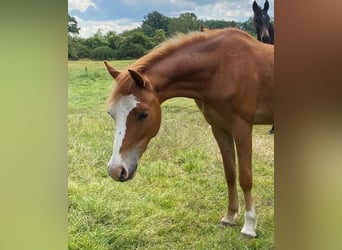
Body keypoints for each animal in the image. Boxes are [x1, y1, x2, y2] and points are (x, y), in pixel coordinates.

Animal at [105, 28, 276, 237]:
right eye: (112, 114)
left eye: (143, 114)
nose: (116, 170)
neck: (222, 68)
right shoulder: (220, 128)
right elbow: (230, 173)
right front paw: (229, 217)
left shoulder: (242, 128)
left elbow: (245, 177)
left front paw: (249, 226)